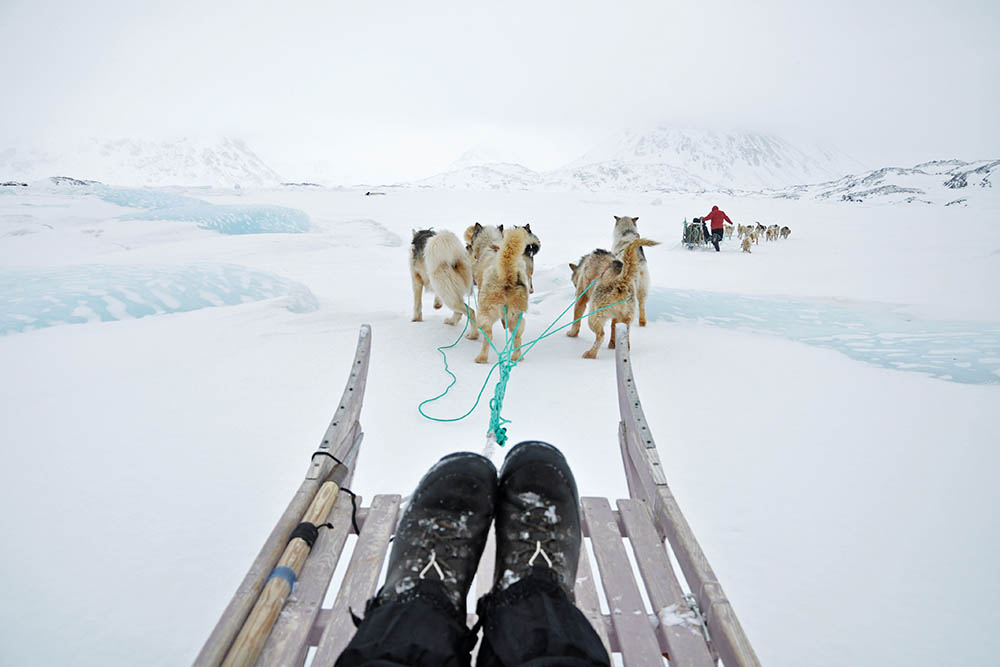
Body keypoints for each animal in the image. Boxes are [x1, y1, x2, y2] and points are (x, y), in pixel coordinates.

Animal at [476, 228, 532, 366]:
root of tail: (508, 274)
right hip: (517, 315)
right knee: (517, 336)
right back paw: (517, 357)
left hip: (486, 311)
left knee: (488, 335)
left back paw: (481, 358)